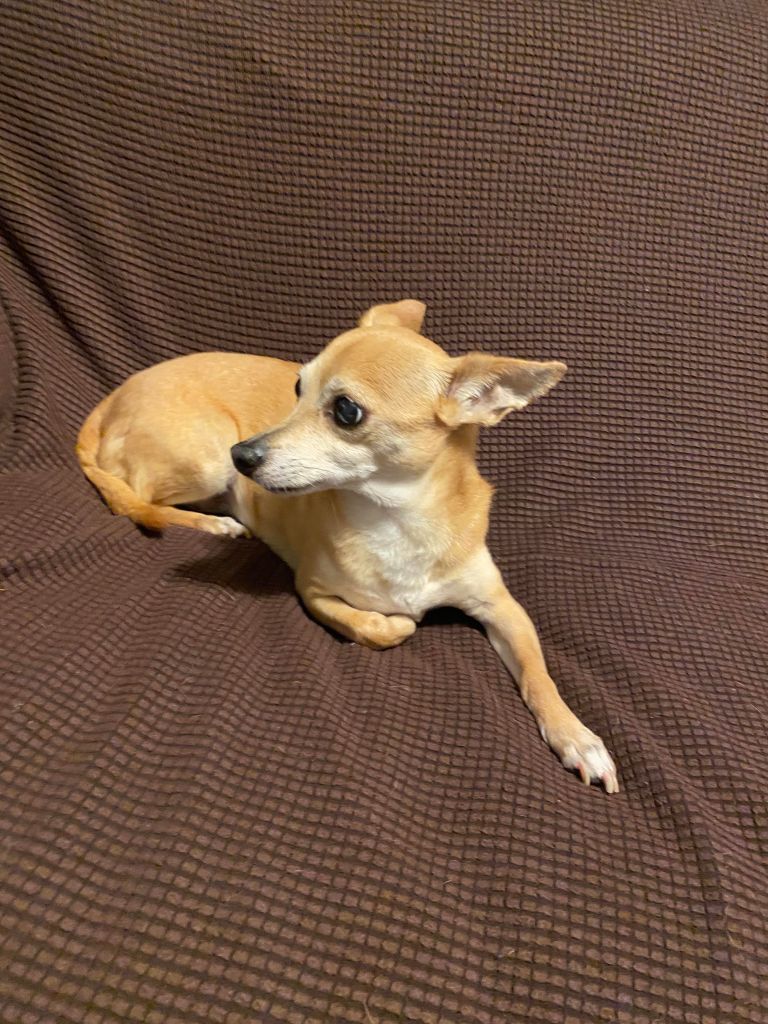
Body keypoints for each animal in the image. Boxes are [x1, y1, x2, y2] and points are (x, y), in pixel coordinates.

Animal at [76, 300, 618, 793]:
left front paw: (577, 736)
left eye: (346, 411)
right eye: (297, 387)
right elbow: (382, 626)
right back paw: (213, 524)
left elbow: (538, 674)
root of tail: (113, 397)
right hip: (204, 457)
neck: (398, 521)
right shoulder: (313, 592)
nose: (242, 455)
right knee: (136, 500)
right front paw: (395, 620)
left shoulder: (501, 607)